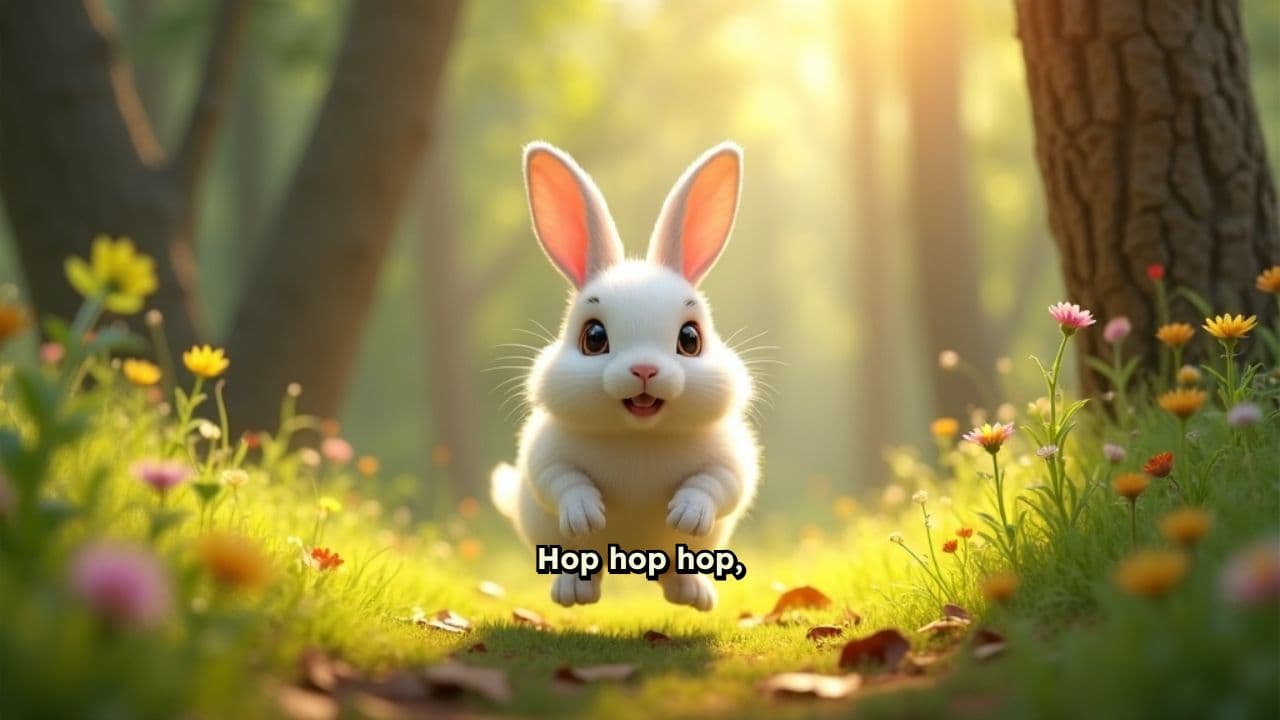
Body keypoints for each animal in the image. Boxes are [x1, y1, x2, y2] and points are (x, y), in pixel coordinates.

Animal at [490, 141, 760, 612]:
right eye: (594, 337)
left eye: (691, 338)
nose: (644, 369)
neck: (639, 434)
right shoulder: (545, 456)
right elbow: (561, 481)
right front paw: (587, 514)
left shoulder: (731, 458)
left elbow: (718, 484)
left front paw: (686, 514)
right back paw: (573, 590)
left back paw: (692, 592)